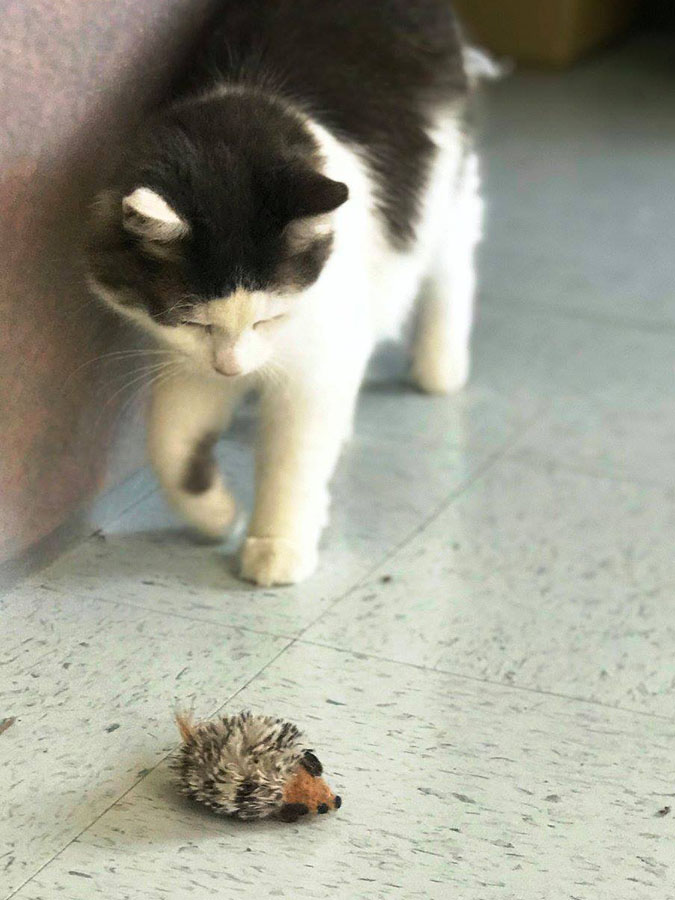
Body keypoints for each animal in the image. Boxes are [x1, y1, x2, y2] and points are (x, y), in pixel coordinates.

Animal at [88, 0, 492, 588]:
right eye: (194, 322)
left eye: (269, 318)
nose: (233, 369)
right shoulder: (189, 363)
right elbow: (170, 446)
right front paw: (218, 517)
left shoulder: (313, 363)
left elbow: (291, 460)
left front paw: (276, 547)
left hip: (445, 181)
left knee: (453, 262)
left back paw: (439, 366)